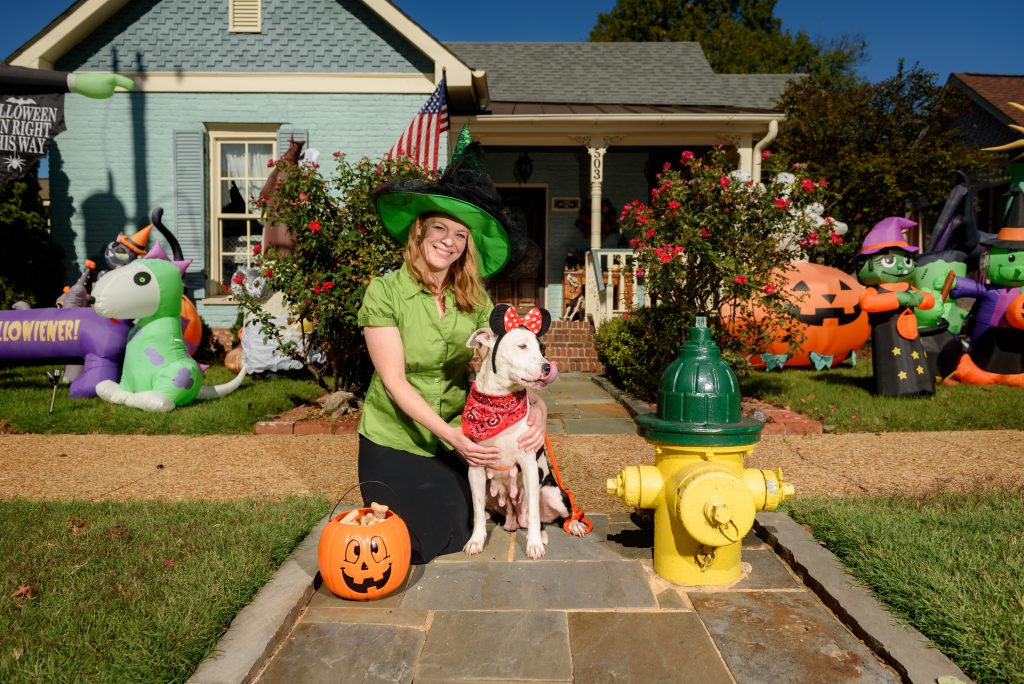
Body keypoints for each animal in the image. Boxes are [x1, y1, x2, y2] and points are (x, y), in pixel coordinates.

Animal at [460, 305, 589, 561]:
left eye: (542, 349)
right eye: (522, 346)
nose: (547, 367)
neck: (499, 403)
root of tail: (513, 519)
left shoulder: (529, 465)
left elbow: (534, 515)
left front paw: (534, 545)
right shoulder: (475, 469)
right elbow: (477, 512)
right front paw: (476, 540)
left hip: (552, 493)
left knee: (557, 514)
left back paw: (572, 525)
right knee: (493, 514)